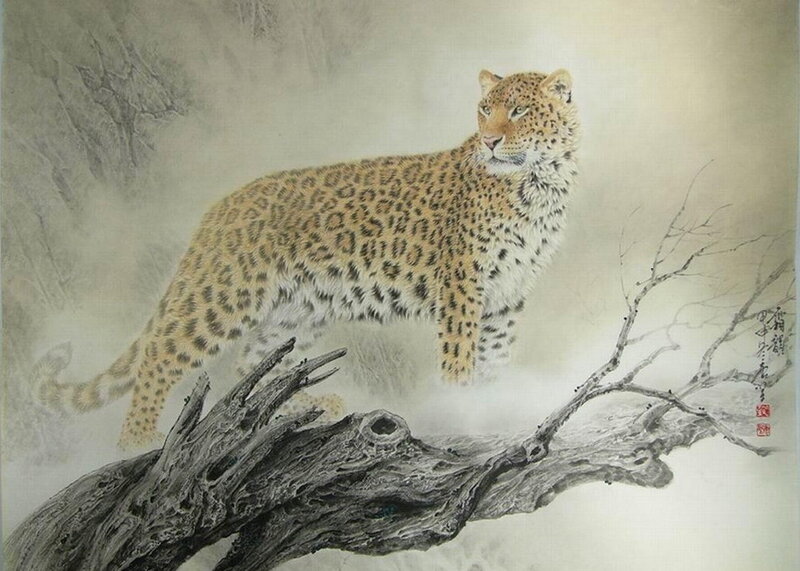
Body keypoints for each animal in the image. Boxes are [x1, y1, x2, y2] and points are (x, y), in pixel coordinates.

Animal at [34, 68, 580, 450]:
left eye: (520, 111)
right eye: (485, 109)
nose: (490, 140)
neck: (539, 185)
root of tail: (218, 208)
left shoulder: (506, 297)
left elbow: (495, 359)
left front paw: (490, 406)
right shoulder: (462, 288)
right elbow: (459, 359)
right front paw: (456, 408)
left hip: (301, 309)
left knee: (253, 364)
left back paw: (302, 407)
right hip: (225, 295)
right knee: (160, 356)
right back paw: (136, 441)